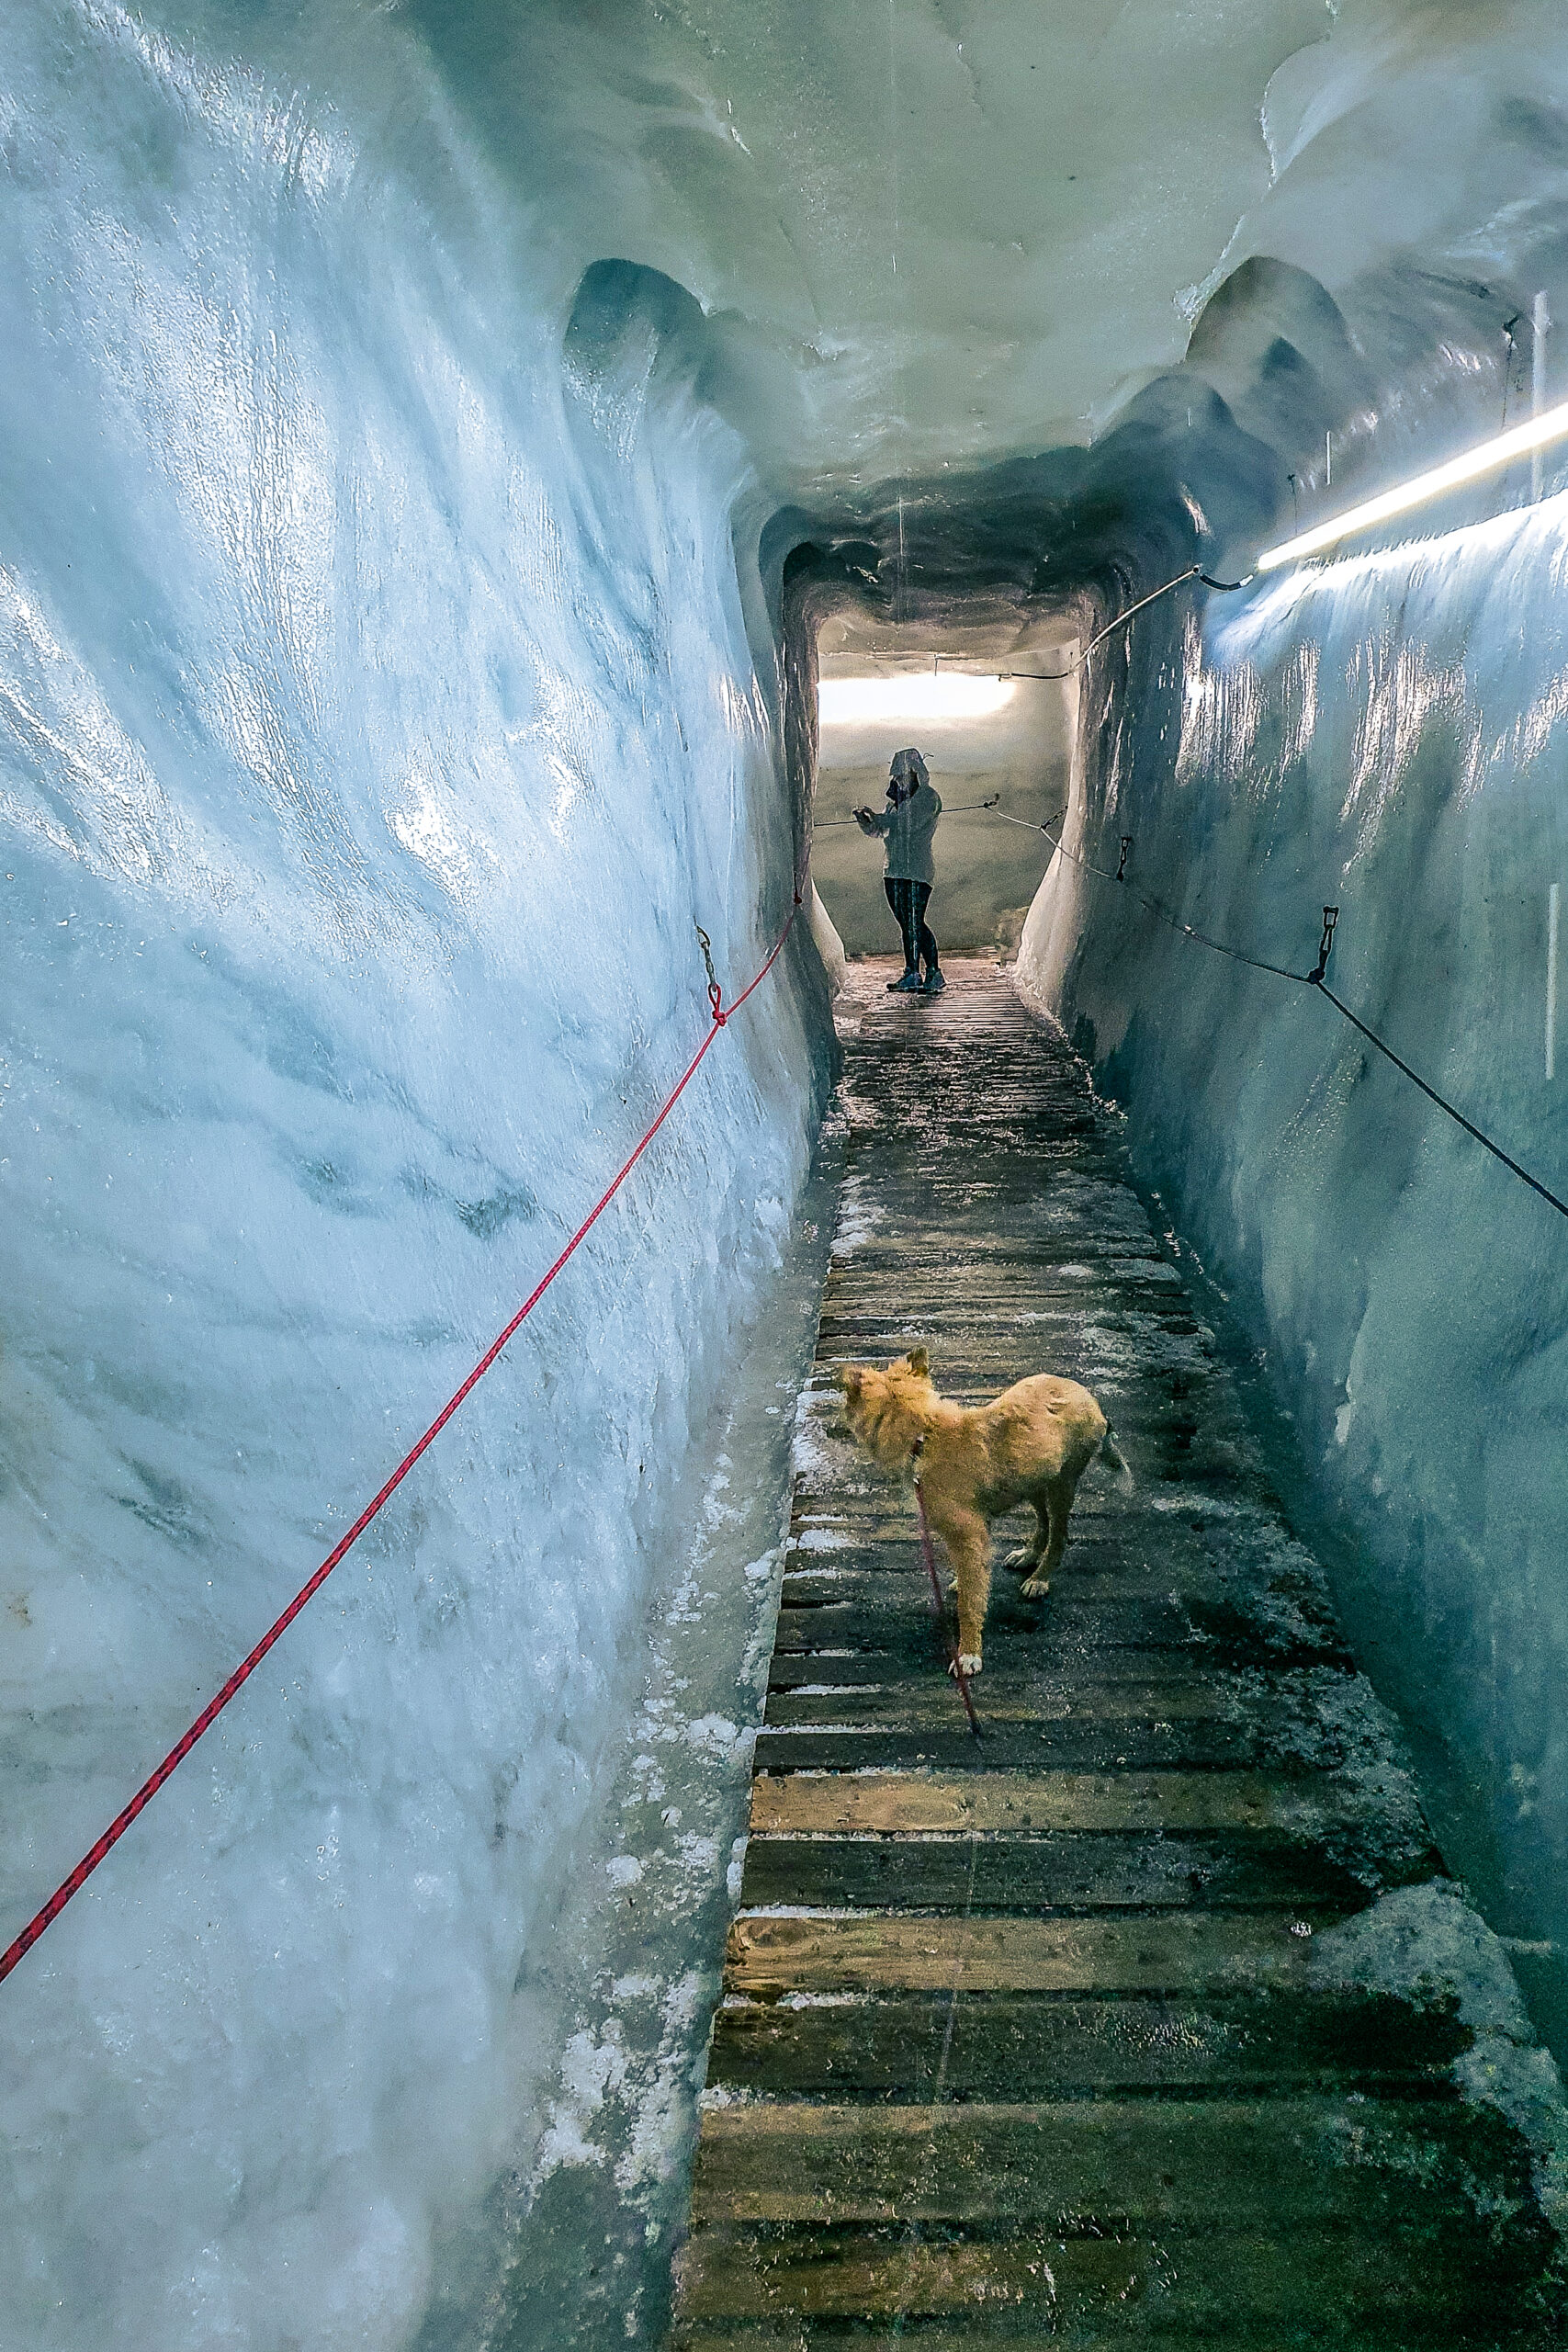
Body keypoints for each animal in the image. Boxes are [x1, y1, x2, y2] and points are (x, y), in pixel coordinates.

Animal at [841, 1345, 1133, 1674]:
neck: (925, 1435)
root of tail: (1089, 1397)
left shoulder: (969, 1534)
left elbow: (970, 1603)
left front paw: (969, 1653)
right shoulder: (972, 1532)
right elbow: (972, 1580)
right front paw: (963, 1583)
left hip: (1062, 1483)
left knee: (1059, 1534)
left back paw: (1040, 1578)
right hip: (1034, 1477)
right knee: (1042, 1522)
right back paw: (1028, 1555)